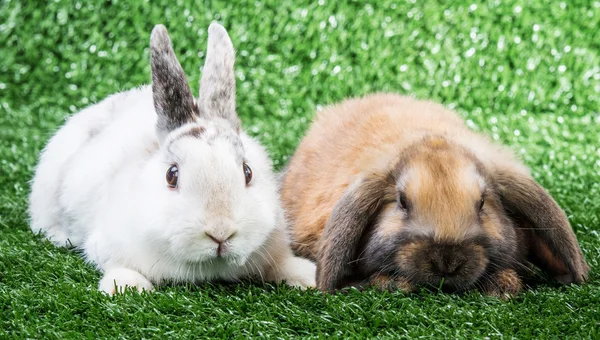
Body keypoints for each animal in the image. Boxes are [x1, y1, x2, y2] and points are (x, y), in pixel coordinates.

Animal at [28, 23, 316, 294]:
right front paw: (127, 288)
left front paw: (309, 277)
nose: (220, 232)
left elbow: (282, 264)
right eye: (171, 175)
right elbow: (117, 265)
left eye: (248, 172)